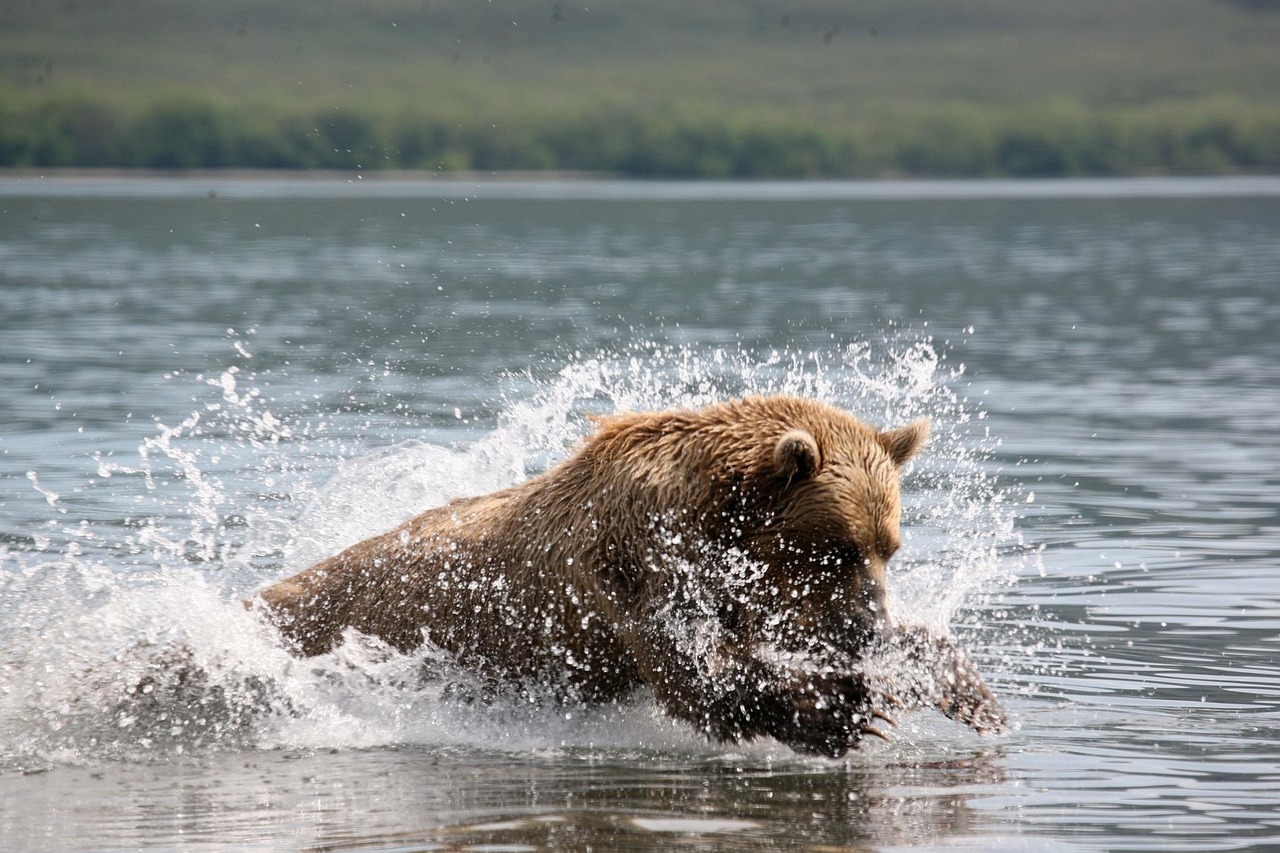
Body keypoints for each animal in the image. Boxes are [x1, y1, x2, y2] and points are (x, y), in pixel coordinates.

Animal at [257, 391, 998, 753]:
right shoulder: (636, 563)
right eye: (835, 548)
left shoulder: (748, 585)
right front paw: (843, 709)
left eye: (889, 547)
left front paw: (964, 689)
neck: (711, 517)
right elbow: (693, 670)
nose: (871, 618)